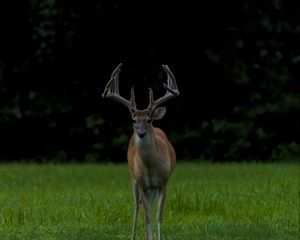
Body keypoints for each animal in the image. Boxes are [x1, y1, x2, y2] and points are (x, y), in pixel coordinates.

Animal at [102, 63, 179, 240]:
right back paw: (133, 236)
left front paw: (157, 237)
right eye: (134, 120)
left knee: (146, 205)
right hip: (134, 179)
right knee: (137, 206)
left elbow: (158, 215)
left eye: (149, 120)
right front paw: (148, 237)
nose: (141, 133)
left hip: (152, 188)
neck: (151, 166)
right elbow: (147, 216)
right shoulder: (142, 183)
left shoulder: (164, 182)